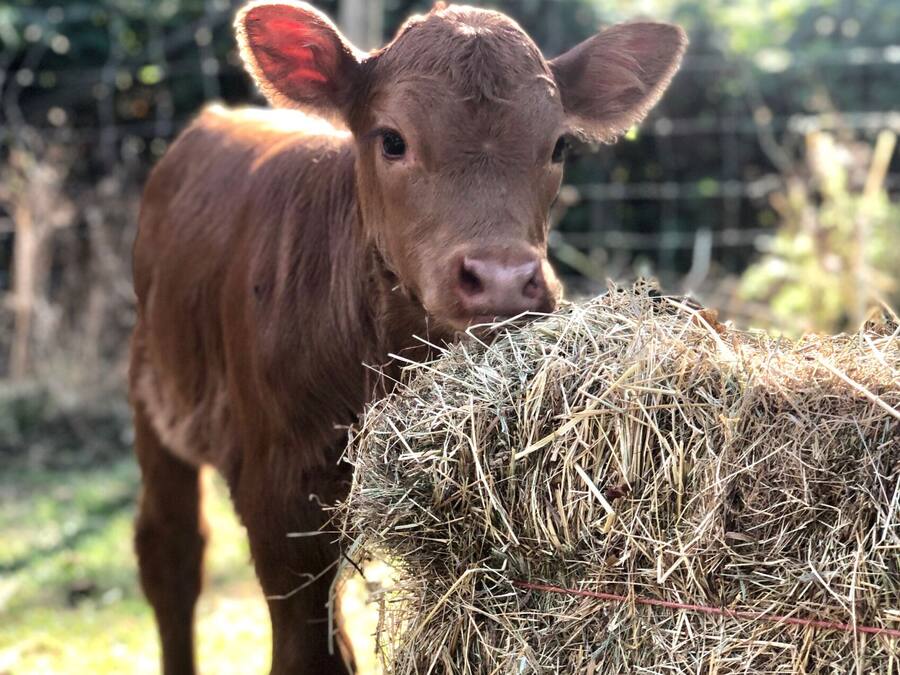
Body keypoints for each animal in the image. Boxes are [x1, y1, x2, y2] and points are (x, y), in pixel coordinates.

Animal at [129, 1, 686, 673]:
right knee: (171, 553)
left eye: (558, 145)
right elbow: (304, 651)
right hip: (153, 391)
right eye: (392, 140)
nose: (501, 278)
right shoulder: (280, 495)